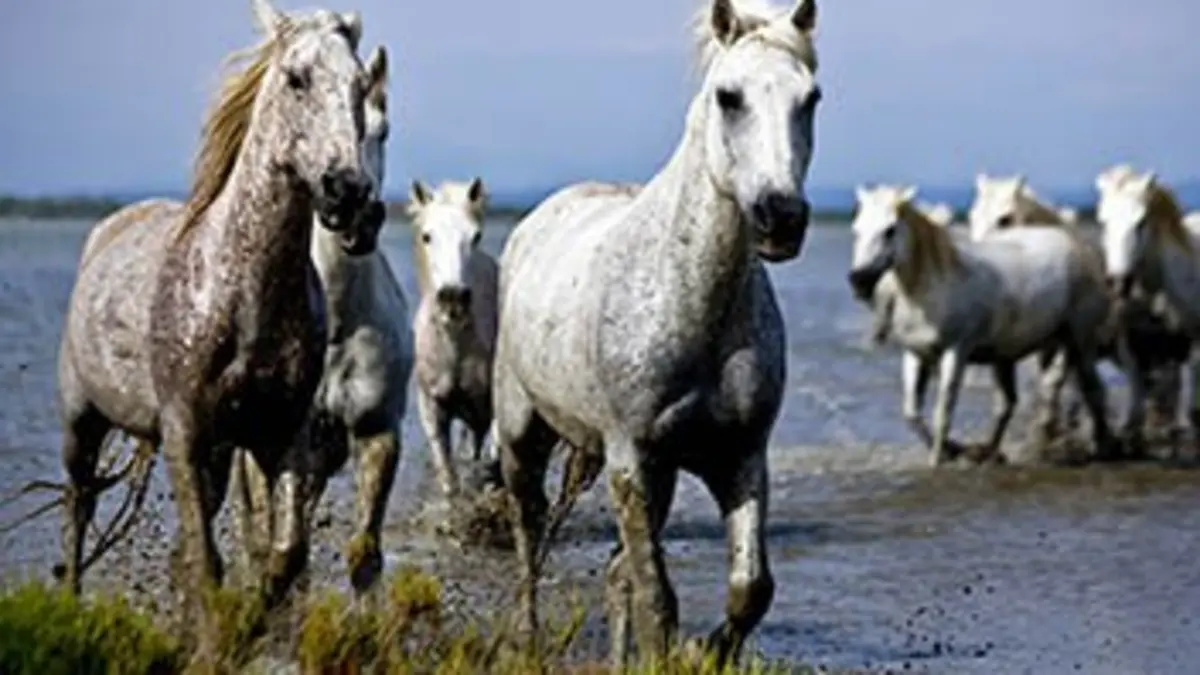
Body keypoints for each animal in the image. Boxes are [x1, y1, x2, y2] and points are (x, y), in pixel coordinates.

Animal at [56, 0, 376, 657]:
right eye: (296, 79)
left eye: (362, 86)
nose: (348, 194)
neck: (240, 297)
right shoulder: (184, 432)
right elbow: (207, 561)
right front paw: (209, 649)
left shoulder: (278, 434)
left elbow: (283, 555)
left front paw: (242, 634)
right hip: (82, 420)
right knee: (78, 505)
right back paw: (71, 604)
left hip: (220, 453)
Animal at [229, 44, 412, 597]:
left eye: (383, 129)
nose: (358, 216)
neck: (335, 324)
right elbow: (276, 546)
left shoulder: (376, 430)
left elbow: (364, 556)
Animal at [490, 0, 821, 667]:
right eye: (729, 96)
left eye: (811, 98)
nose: (781, 218)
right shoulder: (633, 460)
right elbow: (656, 596)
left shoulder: (739, 457)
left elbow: (749, 589)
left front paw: (706, 651)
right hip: (522, 434)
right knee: (530, 532)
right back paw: (527, 637)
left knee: (614, 573)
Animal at [847, 185, 1118, 466]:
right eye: (857, 228)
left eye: (889, 230)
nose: (859, 280)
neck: (933, 290)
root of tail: (1077, 246)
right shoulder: (915, 355)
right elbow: (911, 413)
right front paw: (953, 450)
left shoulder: (956, 352)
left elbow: (943, 411)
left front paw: (938, 460)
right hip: (1013, 355)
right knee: (1010, 403)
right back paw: (991, 453)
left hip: (1080, 341)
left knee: (1093, 391)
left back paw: (1103, 449)